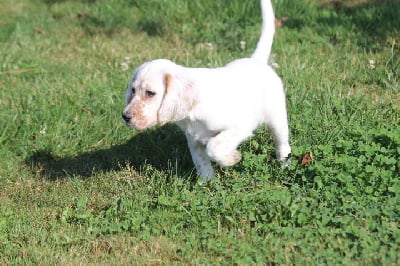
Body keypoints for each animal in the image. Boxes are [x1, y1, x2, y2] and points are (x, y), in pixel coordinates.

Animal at [122, 0, 290, 180]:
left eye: (150, 93)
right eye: (133, 90)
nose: (125, 117)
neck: (192, 112)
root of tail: (256, 61)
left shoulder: (240, 126)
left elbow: (213, 146)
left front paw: (232, 158)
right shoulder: (193, 140)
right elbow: (201, 162)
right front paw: (207, 182)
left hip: (277, 118)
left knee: (282, 144)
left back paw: (285, 165)